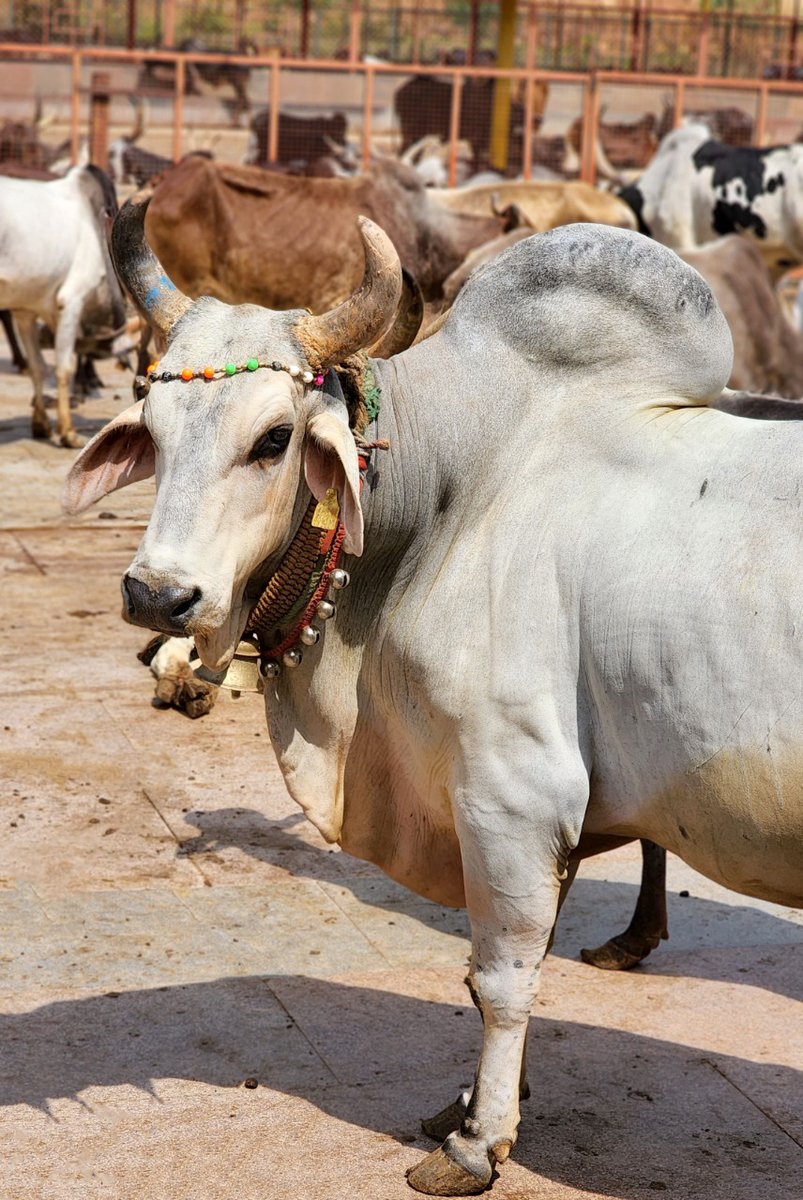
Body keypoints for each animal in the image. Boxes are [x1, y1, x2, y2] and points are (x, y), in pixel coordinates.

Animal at [0, 165, 126, 446]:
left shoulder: (25, 313)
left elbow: (38, 366)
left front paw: (41, 424)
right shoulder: (71, 301)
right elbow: (63, 367)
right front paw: (68, 432)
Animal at [64, 207, 802, 1194]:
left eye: (272, 440)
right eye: (151, 424)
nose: (157, 598)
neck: (459, 496)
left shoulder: (511, 796)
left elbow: (500, 978)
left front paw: (476, 1142)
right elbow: (501, 966)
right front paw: (471, 1105)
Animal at [394, 75, 548, 174]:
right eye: (519, 144)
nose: (539, 119)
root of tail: (398, 93)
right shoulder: (476, 140)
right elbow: (476, 163)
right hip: (412, 131)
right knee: (402, 152)